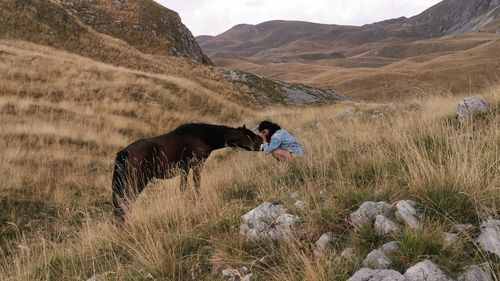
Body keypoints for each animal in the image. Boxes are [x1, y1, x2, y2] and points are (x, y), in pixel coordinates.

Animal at [112, 122, 264, 221]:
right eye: (249, 135)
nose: (261, 142)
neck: (203, 136)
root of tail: (125, 152)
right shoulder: (197, 165)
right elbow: (196, 186)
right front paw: (197, 206)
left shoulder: (184, 169)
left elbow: (183, 188)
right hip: (137, 181)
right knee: (125, 202)